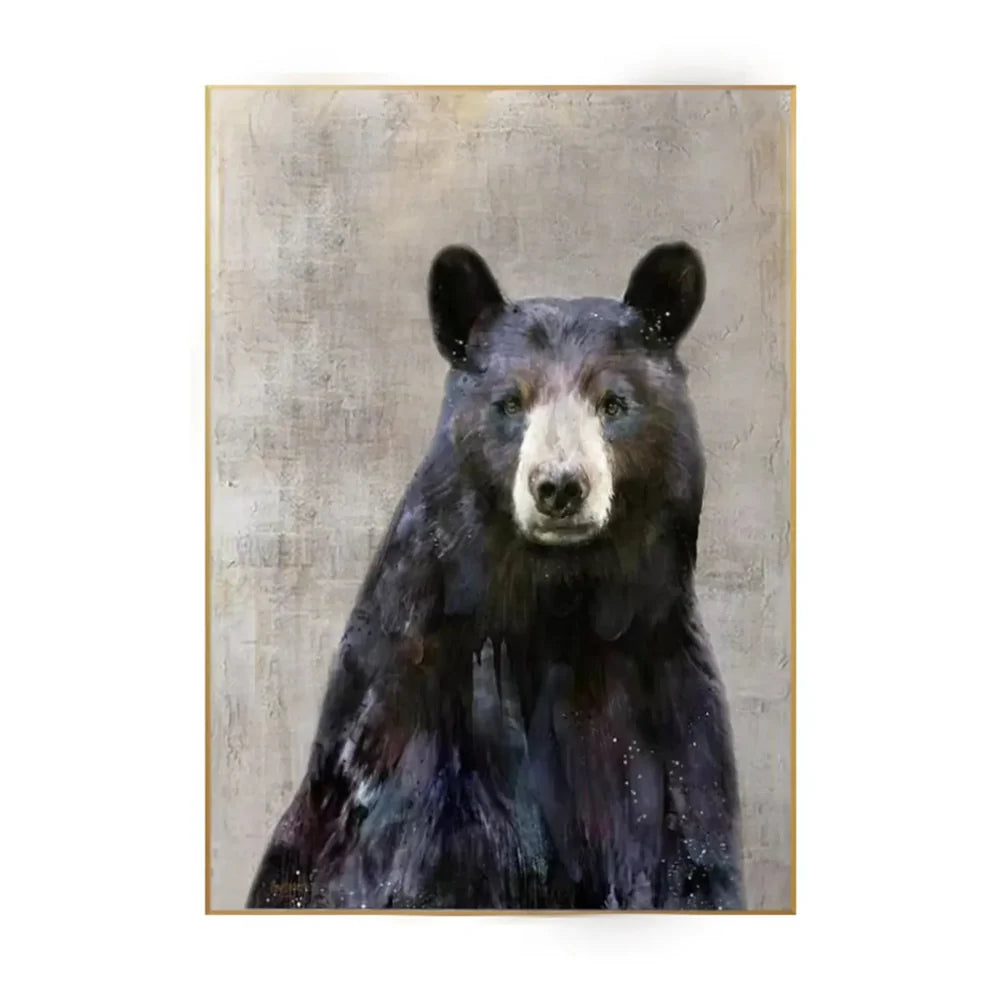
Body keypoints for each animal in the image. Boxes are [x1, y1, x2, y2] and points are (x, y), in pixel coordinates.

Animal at [246, 243, 744, 910]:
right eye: (510, 402)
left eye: (613, 403)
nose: (559, 487)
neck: (557, 608)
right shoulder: (418, 734)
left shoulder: (668, 717)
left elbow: (691, 858)